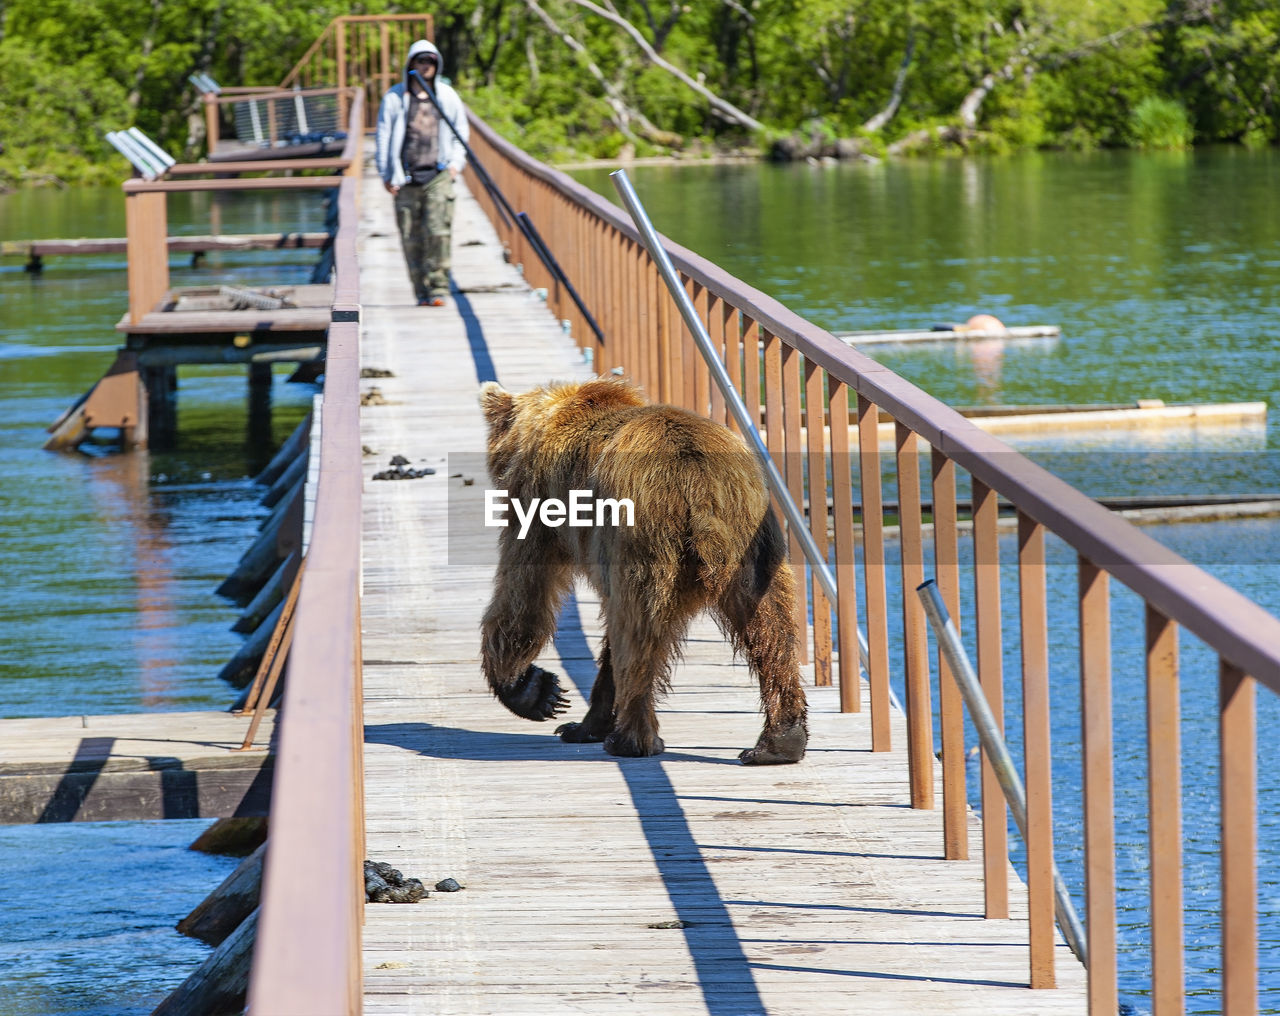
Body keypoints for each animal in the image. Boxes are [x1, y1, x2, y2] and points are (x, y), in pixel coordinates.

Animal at [476, 378, 803, 757]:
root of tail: (697, 476)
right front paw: (575, 718)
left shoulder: (538, 503)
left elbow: (523, 594)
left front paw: (532, 690)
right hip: (751, 533)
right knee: (769, 624)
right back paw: (780, 740)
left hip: (643, 536)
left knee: (638, 628)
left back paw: (631, 738)